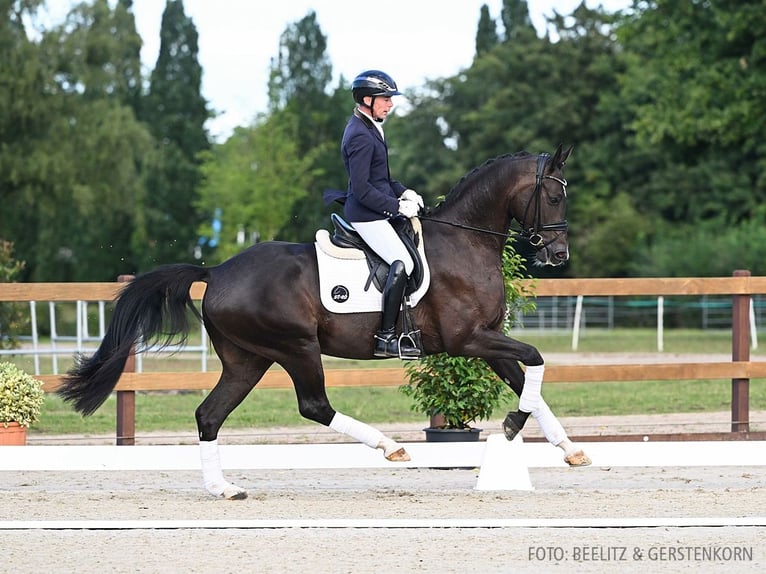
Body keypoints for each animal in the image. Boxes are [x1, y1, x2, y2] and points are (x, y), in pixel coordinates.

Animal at [58, 144, 592, 500]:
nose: (559, 255)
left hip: (247, 360)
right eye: (555, 198)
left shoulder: (486, 339)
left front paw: (569, 449)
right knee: (314, 404)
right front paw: (513, 424)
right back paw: (390, 448)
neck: (466, 242)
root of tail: (218, 271)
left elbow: (529, 381)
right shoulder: (469, 340)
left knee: (209, 415)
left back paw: (223, 489)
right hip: (296, 348)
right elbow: (535, 360)